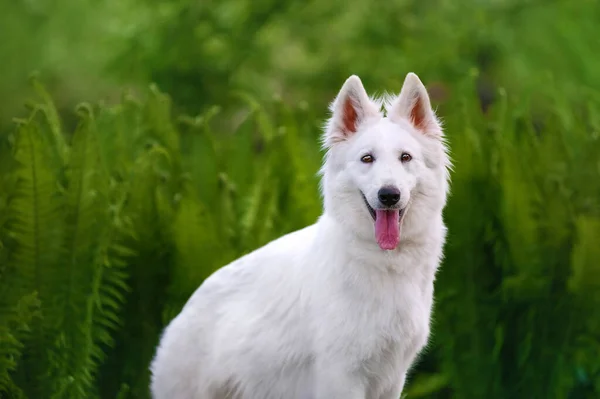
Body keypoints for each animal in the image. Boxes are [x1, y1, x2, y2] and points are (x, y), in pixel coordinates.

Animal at [149, 72, 450, 399]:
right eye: (367, 158)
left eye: (405, 157)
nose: (389, 195)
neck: (383, 262)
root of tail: (180, 316)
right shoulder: (342, 376)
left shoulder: (391, 379)